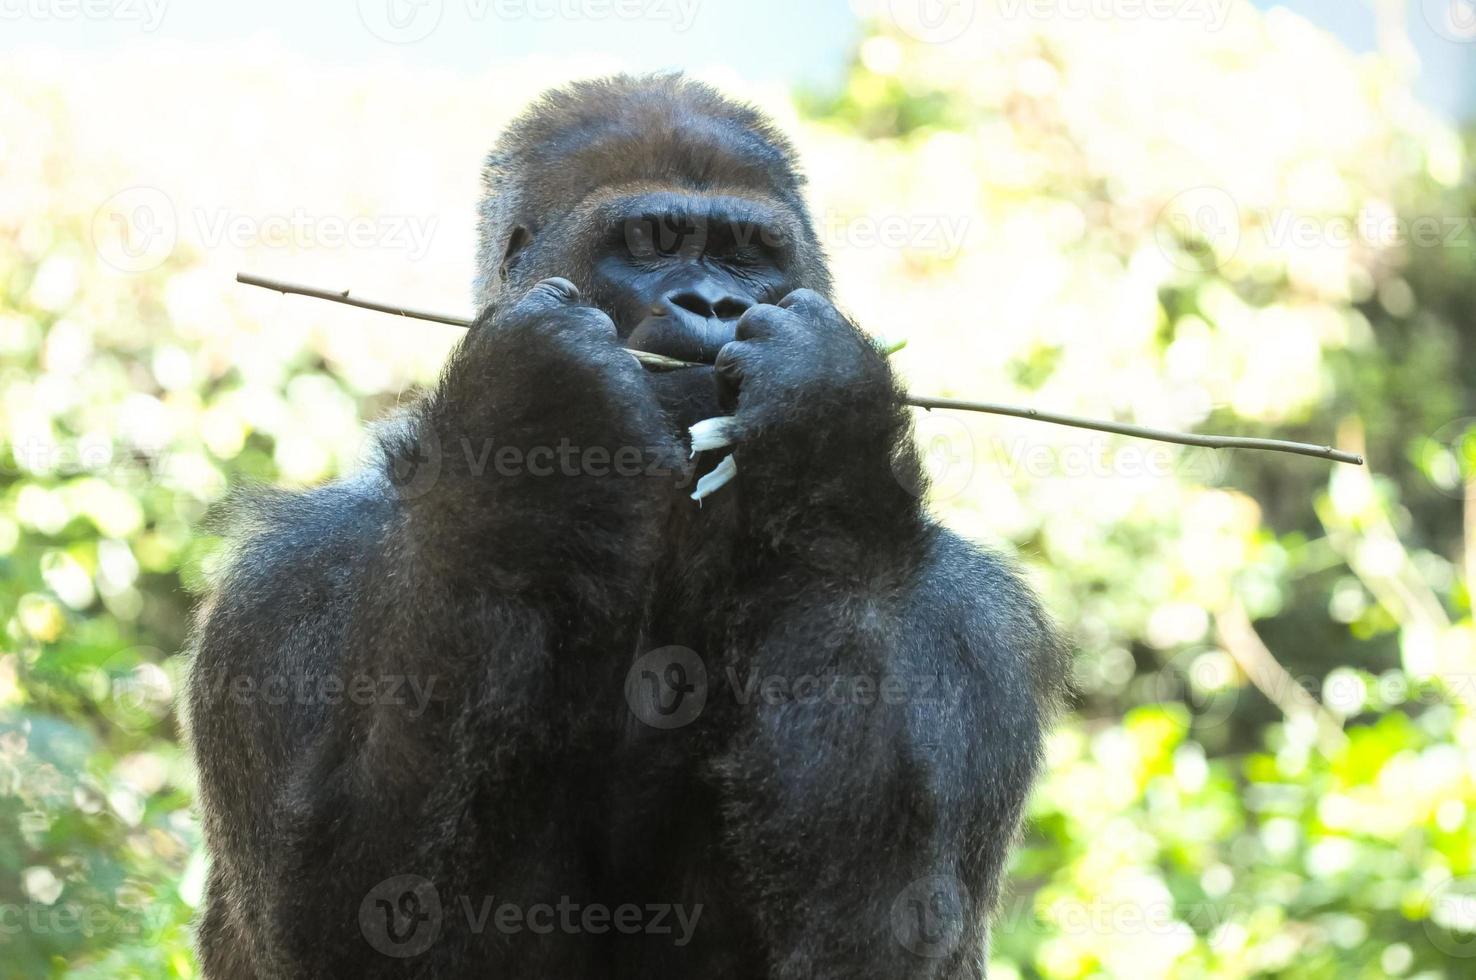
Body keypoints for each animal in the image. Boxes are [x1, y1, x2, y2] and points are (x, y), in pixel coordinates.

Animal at [187, 72, 1062, 974]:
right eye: (649, 242)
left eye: (749, 254)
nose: (714, 302)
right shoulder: (290, 579)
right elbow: (333, 915)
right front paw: (533, 418)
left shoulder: (972, 621)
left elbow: (886, 928)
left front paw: (824, 430)